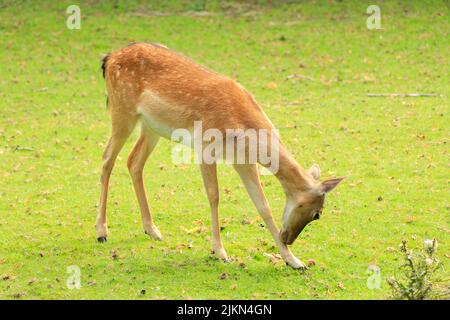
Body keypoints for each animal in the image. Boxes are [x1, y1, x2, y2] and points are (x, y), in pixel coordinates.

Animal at [97, 42, 344, 268]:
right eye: (317, 214)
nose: (288, 239)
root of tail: (108, 58)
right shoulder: (205, 146)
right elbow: (214, 195)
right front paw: (220, 251)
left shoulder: (242, 160)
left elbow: (262, 205)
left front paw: (294, 261)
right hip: (122, 110)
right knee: (107, 158)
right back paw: (102, 231)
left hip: (151, 127)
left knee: (133, 161)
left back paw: (152, 230)